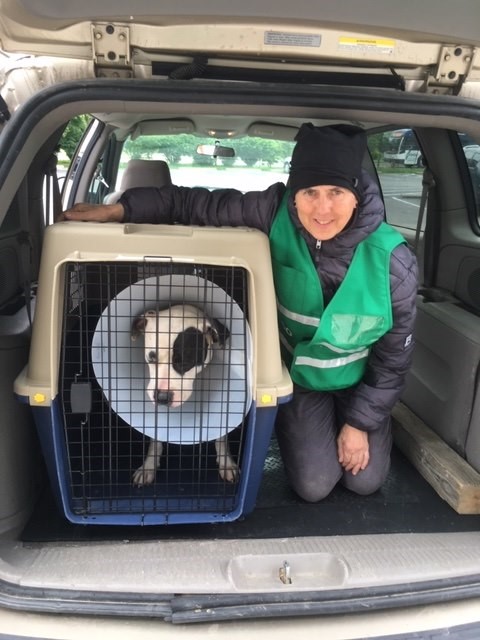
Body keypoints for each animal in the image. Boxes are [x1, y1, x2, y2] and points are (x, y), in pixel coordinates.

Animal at [130, 304, 239, 484]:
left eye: (186, 362)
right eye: (151, 358)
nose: (162, 397)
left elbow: (221, 434)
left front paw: (226, 463)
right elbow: (155, 437)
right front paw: (148, 466)